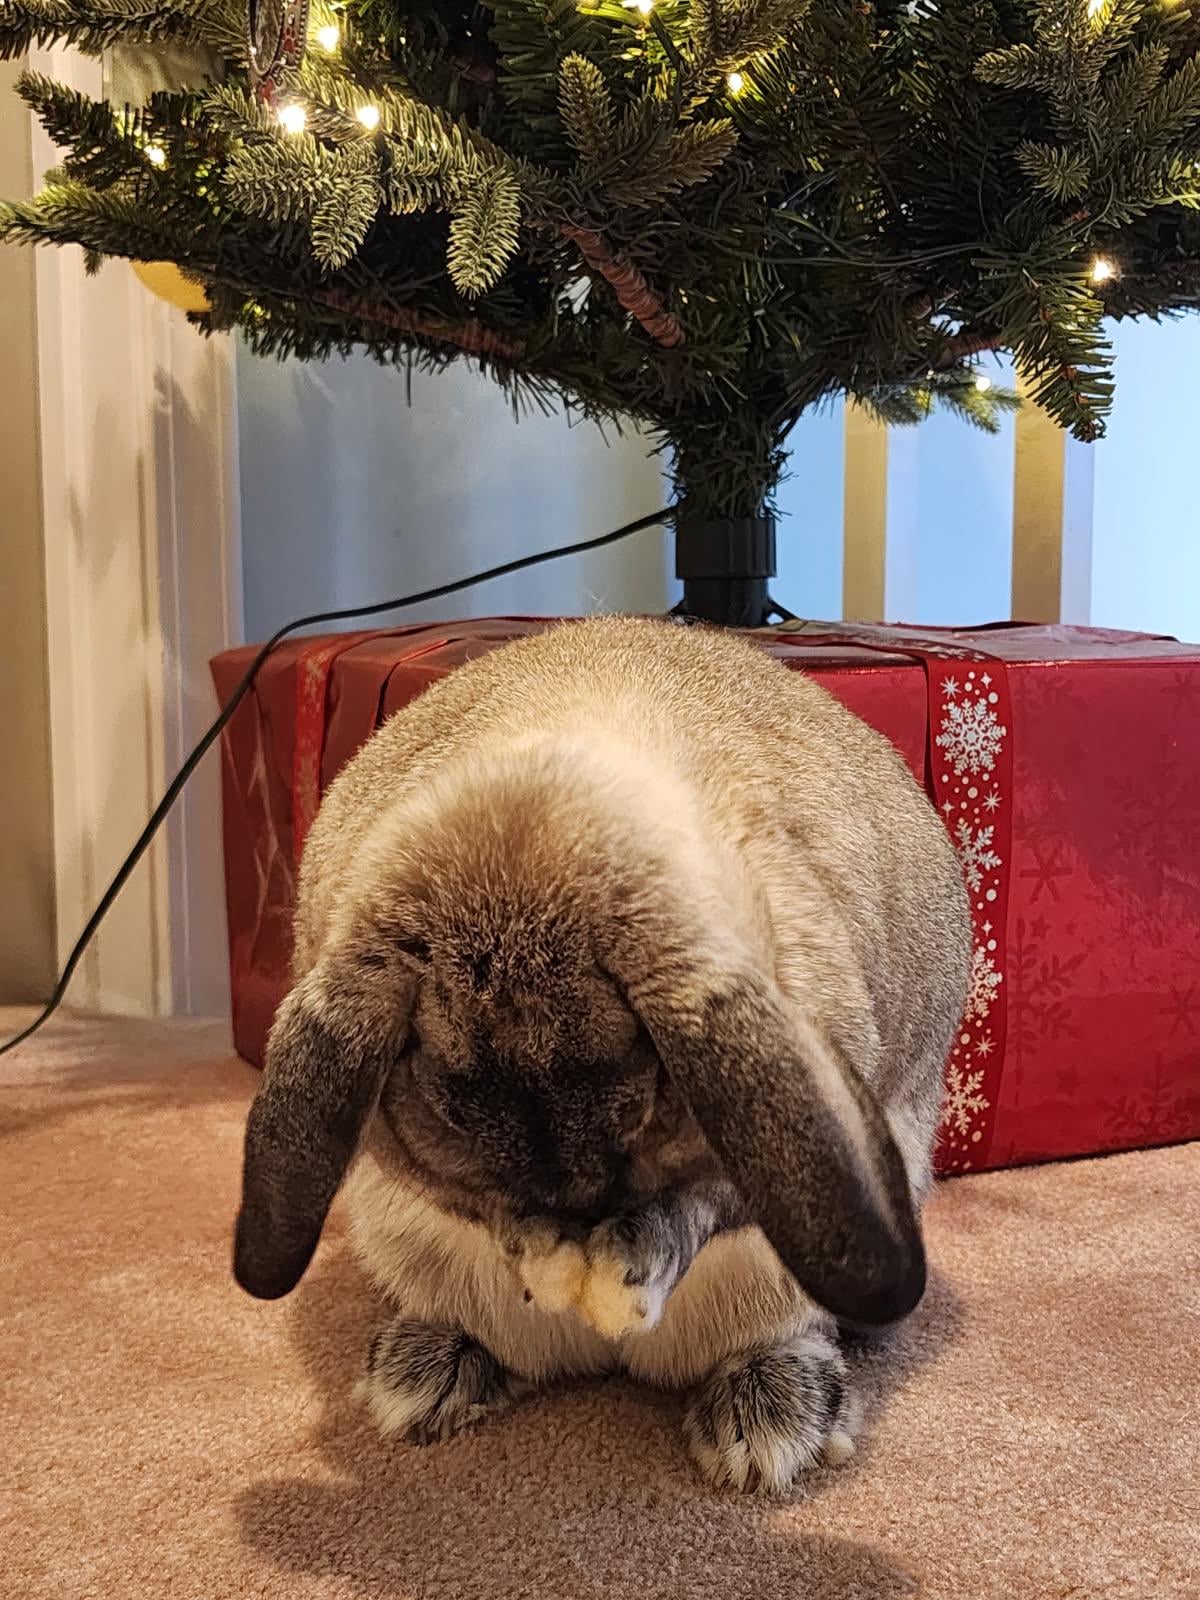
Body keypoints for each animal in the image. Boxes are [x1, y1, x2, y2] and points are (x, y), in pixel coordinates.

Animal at [233, 614, 971, 1491]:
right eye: (450, 1108)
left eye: (646, 1105)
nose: (576, 1212)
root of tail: (608, 1355)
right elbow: (482, 1205)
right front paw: (545, 1250)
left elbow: (698, 1203)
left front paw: (627, 1259)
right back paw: (428, 1376)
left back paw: (765, 1422)